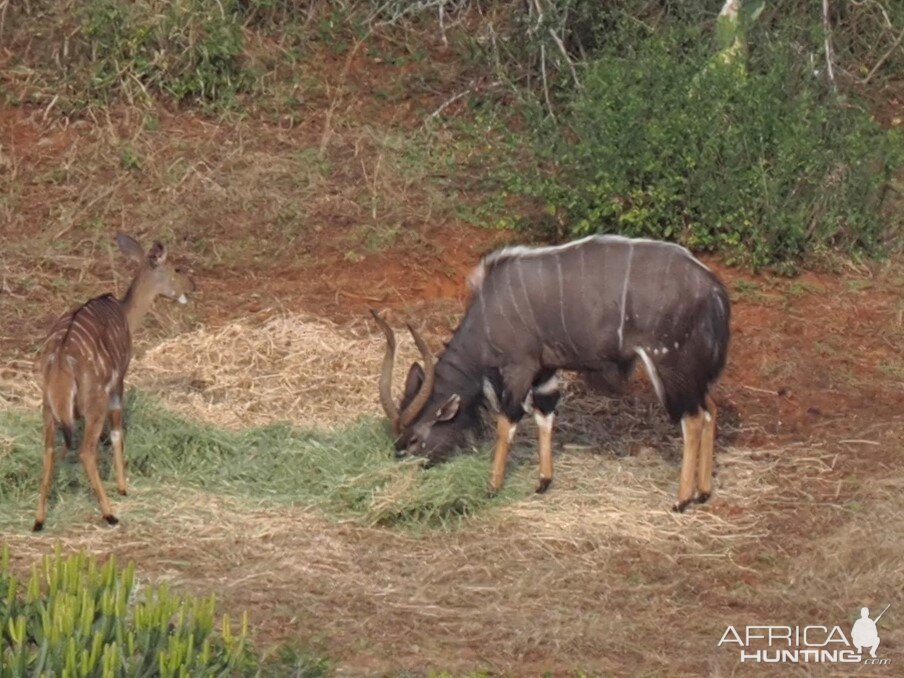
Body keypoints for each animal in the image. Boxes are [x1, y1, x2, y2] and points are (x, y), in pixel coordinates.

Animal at [34, 234, 195, 532]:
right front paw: (122, 487)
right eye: (177, 268)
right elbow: (118, 431)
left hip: (48, 408)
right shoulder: (119, 382)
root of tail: (60, 358)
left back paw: (39, 520)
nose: (193, 286)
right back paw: (110, 514)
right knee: (86, 451)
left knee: (49, 450)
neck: (125, 314)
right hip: (94, 404)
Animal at [370, 236, 732, 512]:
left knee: (692, 419)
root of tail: (716, 290)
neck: (486, 320)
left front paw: (492, 485)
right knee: (711, 410)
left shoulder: (519, 366)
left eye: (414, 439)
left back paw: (681, 500)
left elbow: (507, 421)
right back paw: (703, 491)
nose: (400, 461)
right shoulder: (545, 370)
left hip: (668, 363)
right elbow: (545, 414)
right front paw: (543, 481)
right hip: (692, 371)